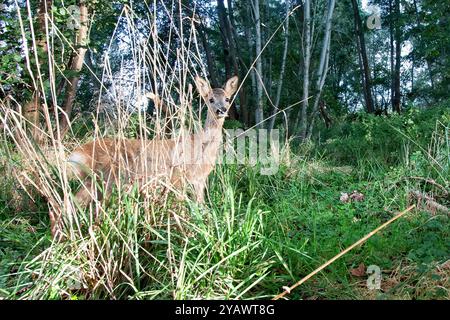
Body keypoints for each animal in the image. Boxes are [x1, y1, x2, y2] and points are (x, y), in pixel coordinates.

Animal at [67, 75, 239, 205]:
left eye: (227, 99)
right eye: (210, 99)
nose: (221, 110)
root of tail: (76, 155)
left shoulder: (199, 180)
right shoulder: (182, 177)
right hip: (105, 177)